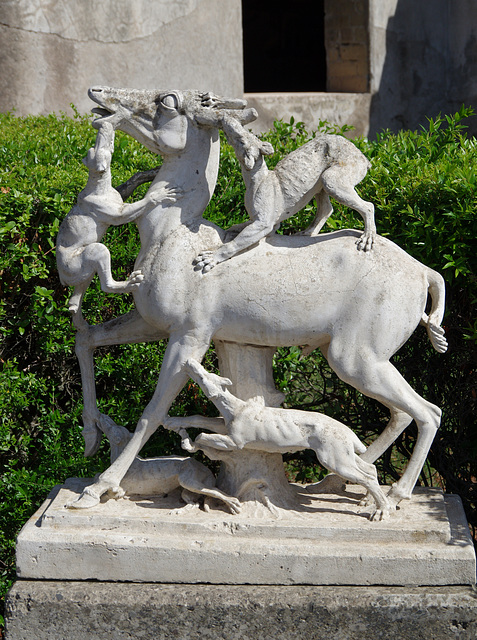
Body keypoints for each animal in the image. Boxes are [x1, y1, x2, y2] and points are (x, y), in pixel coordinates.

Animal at [165, 360, 388, 520]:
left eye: (204, 375)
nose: (189, 362)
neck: (237, 408)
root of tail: (349, 433)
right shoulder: (223, 424)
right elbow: (199, 419)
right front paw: (172, 422)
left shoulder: (235, 441)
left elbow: (202, 436)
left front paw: (191, 444)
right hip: (343, 453)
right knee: (370, 470)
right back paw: (374, 502)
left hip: (333, 458)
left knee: (366, 477)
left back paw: (381, 511)